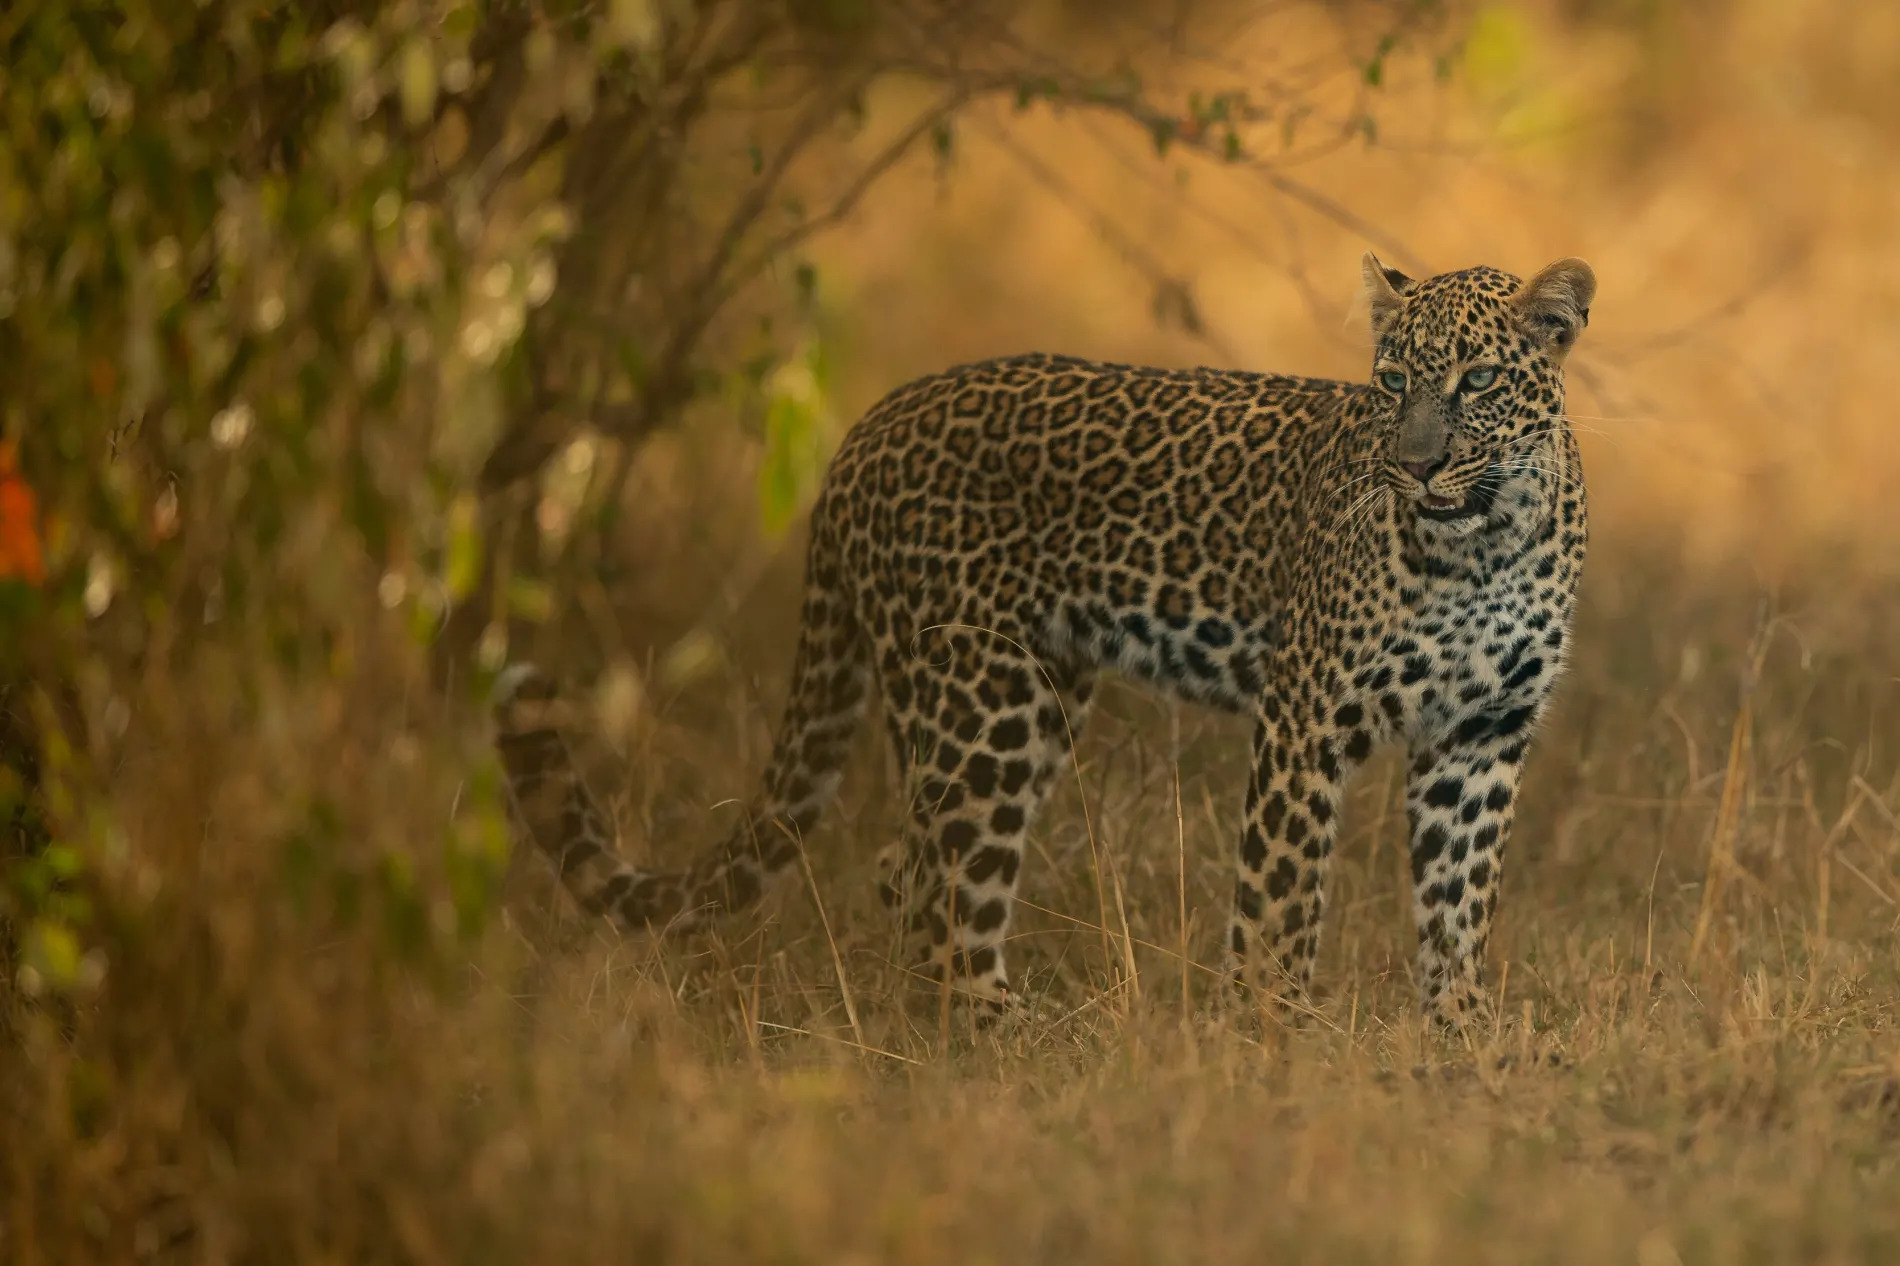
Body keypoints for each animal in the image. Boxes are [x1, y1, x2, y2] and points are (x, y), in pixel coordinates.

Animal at [490, 250, 1588, 1034]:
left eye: (1478, 380)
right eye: (1393, 380)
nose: (1418, 466)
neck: (1486, 538)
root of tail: (861, 432)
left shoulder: (1481, 736)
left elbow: (1458, 905)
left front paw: (1462, 1044)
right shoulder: (1305, 720)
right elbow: (1279, 908)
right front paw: (1271, 1050)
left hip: (1030, 694)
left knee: (909, 873)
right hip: (983, 698)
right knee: (945, 897)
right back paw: (1014, 1047)